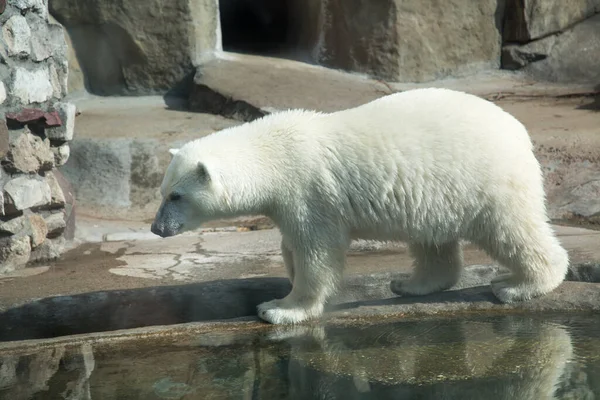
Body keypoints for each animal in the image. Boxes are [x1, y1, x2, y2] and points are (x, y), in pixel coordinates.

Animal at [150, 88, 568, 324]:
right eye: (162, 190)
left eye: (176, 196)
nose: (157, 228)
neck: (272, 153)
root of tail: (519, 131)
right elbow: (292, 245)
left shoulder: (309, 190)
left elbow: (316, 252)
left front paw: (280, 308)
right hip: (437, 193)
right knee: (432, 241)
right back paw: (410, 284)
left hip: (485, 178)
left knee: (510, 228)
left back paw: (519, 285)